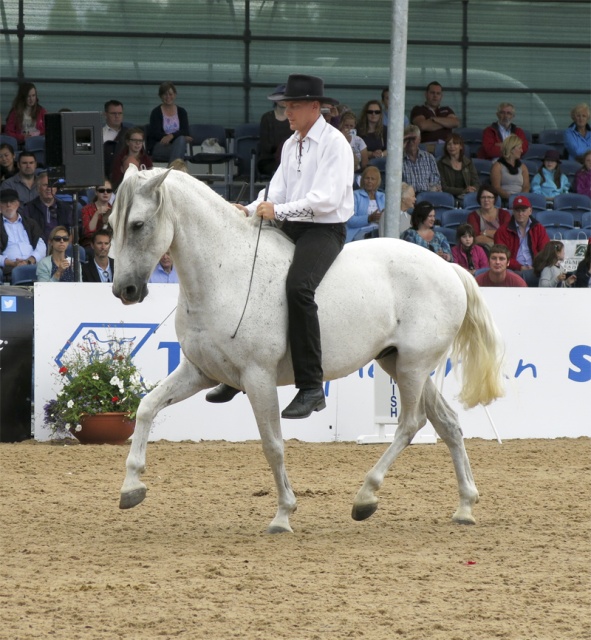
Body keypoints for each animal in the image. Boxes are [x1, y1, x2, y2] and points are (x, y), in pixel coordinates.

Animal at [110, 166, 505, 533]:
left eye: (138, 224)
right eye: (112, 222)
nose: (123, 291)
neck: (224, 273)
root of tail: (450, 269)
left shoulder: (258, 378)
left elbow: (272, 444)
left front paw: (283, 514)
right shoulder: (199, 372)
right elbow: (146, 408)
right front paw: (131, 488)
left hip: (413, 367)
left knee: (410, 424)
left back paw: (365, 497)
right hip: (399, 364)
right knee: (448, 423)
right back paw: (464, 507)